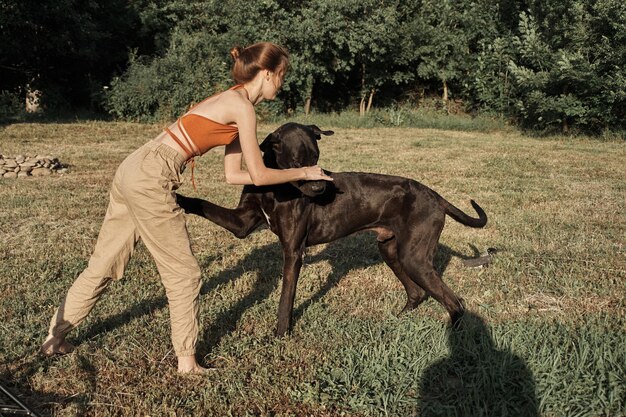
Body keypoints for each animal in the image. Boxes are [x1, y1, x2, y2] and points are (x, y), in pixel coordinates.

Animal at [176, 122, 488, 334]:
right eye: (297, 162)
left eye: (316, 158)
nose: (319, 189)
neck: (276, 187)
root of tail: (436, 197)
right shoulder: (242, 223)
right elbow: (204, 204)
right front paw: (176, 196)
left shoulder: (293, 251)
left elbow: (286, 298)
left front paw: (280, 335)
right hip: (392, 250)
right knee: (418, 293)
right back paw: (398, 319)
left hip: (414, 257)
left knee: (455, 301)